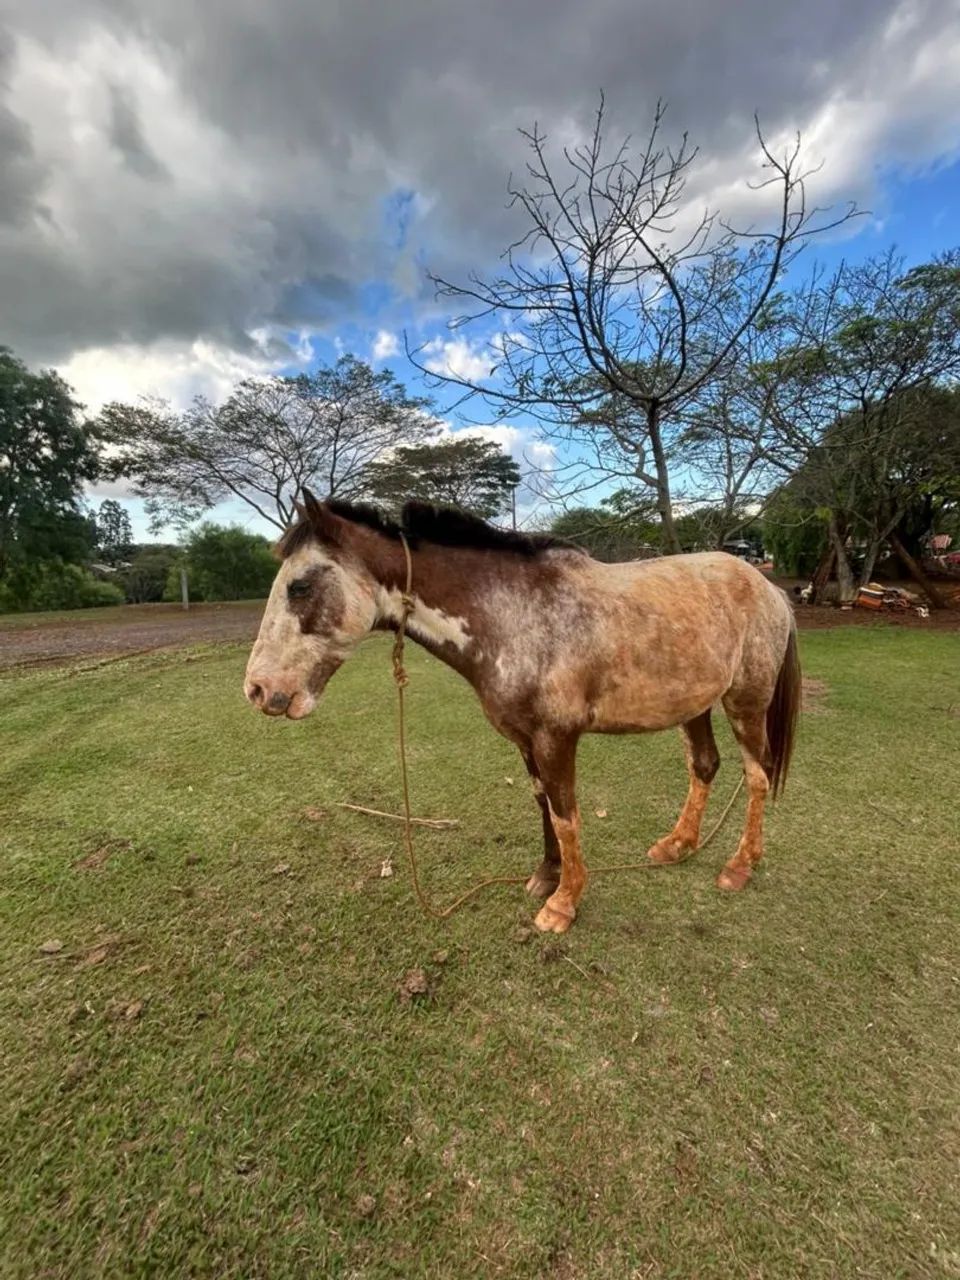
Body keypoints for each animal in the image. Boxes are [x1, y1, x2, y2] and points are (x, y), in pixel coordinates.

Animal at [244, 490, 800, 934]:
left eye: (299, 586)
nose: (257, 689)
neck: (514, 615)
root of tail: (769, 588)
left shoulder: (556, 738)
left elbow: (566, 813)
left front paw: (564, 903)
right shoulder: (526, 740)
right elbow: (543, 806)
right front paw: (548, 877)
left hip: (746, 703)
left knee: (757, 775)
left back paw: (740, 865)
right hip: (695, 705)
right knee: (704, 765)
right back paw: (678, 844)